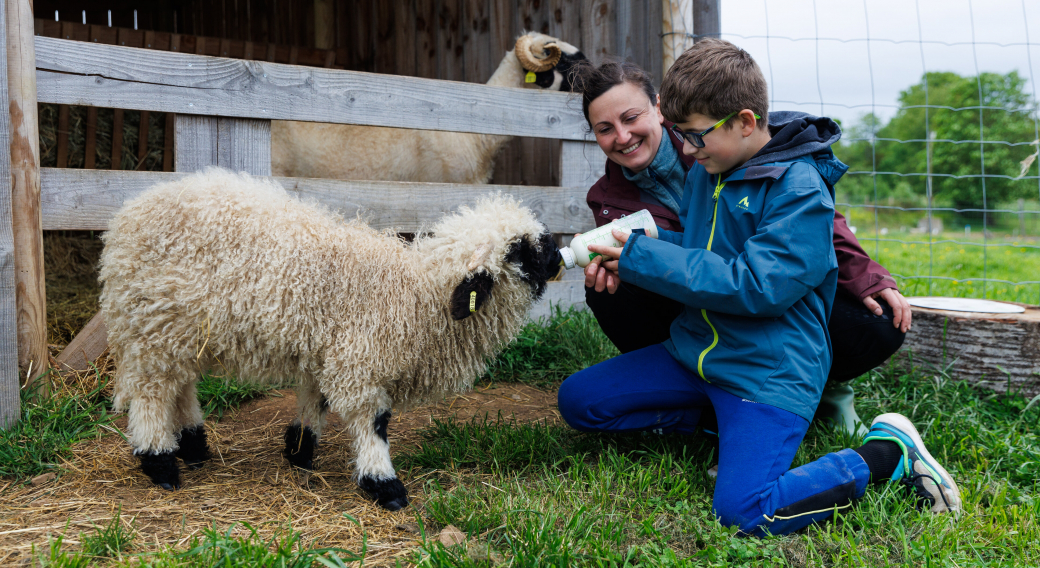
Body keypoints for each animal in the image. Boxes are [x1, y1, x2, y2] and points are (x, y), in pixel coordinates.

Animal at [101, 165, 565, 505]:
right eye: (520, 251)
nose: (560, 256)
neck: (417, 297)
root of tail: (128, 214)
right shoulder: (360, 362)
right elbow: (372, 423)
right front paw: (384, 485)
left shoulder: (329, 350)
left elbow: (315, 401)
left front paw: (299, 452)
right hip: (153, 324)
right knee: (152, 392)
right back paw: (161, 462)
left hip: (183, 331)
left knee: (180, 384)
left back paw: (193, 445)